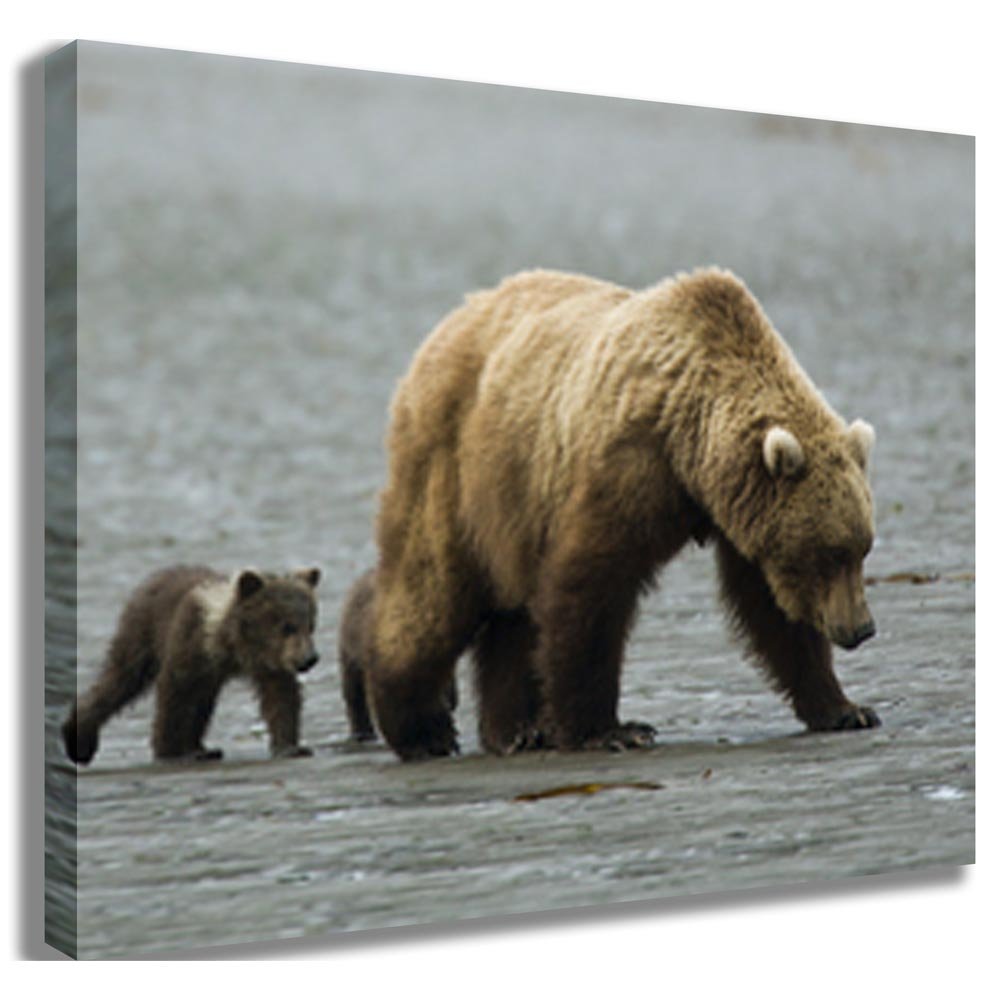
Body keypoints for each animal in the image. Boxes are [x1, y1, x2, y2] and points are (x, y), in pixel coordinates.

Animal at [62, 564, 322, 764]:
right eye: (287, 627)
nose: (310, 659)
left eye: (310, 625)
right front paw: (168, 751)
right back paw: (80, 741)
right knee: (121, 680)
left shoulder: (268, 663)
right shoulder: (189, 643)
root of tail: (153, 578)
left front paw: (292, 747)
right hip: (141, 634)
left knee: (202, 702)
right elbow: (174, 693)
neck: (232, 647)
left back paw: (202, 749)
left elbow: (281, 697)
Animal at [363, 267, 880, 762]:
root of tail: (445, 327)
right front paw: (612, 731)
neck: (690, 446)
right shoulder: (628, 468)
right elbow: (590, 588)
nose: (861, 628)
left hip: (515, 510)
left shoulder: (736, 512)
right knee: (432, 592)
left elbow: (770, 607)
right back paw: (420, 730)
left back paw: (517, 731)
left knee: (511, 617)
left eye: (862, 550)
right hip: (459, 469)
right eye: (830, 553)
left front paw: (845, 708)